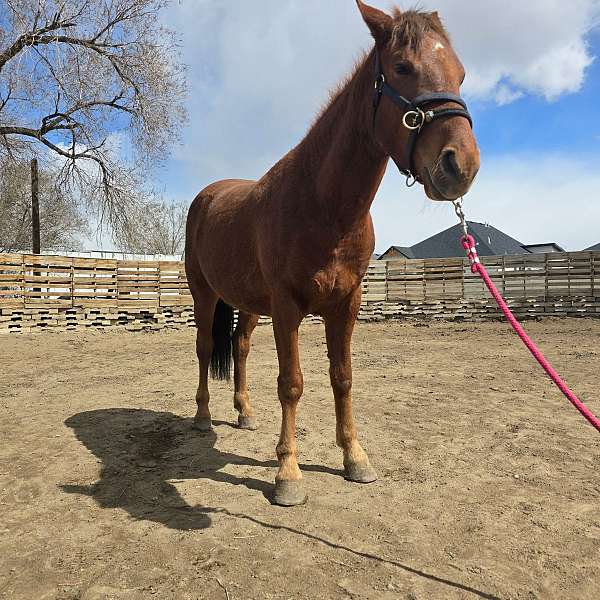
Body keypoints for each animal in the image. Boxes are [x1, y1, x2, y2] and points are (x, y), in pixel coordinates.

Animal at [185, 1, 480, 506]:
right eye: (401, 67)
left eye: (460, 73)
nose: (460, 164)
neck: (322, 204)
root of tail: (206, 197)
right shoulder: (288, 307)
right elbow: (291, 384)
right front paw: (287, 474)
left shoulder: (346, 304)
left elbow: (342, 377)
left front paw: (354, 458)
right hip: (205, 295)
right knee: (206, 348)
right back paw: (204, 417)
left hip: (249, 304)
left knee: (239, 348)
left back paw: (244, 412)